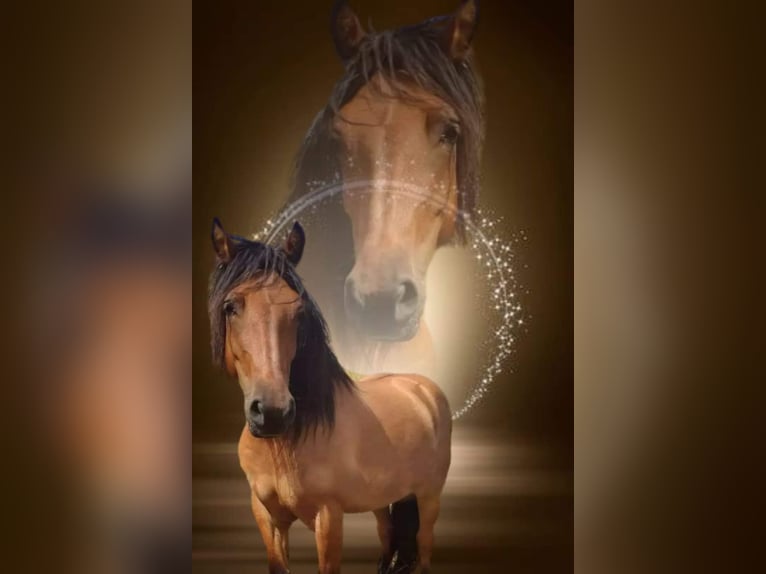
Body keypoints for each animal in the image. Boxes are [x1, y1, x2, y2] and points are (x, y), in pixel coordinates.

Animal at [207, 218, 452, 574]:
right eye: (230, 306)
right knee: (387, 532)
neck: (286, 445)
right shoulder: (267, 517)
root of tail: (423, 389)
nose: (272, 412)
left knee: (423, 546)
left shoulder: (328, 517)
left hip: (428, 497)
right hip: (384, 497)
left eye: (298, 312)